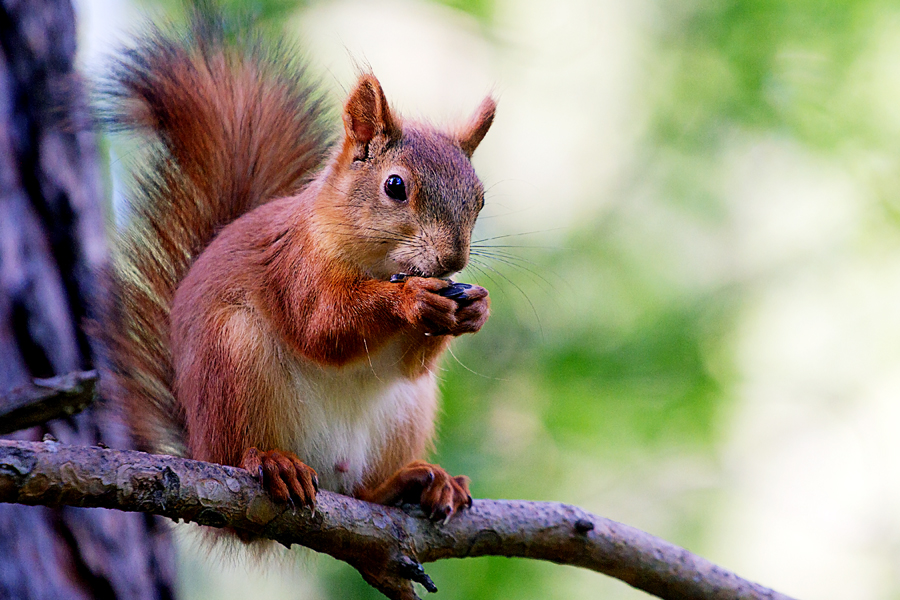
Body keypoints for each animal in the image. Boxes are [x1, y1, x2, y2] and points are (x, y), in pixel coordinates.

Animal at [105, 11, 496, 524]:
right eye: (395, 186)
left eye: (480, 199)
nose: (453, 260)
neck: (377, 265)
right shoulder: (294, 266)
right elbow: (321, 325)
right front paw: (411, 299)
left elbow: (409, 363)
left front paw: (475, 308)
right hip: (233, 361)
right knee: (238, 453)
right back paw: (274, 463)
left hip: (409, 411)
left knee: (365, 491)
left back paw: (417, 483)